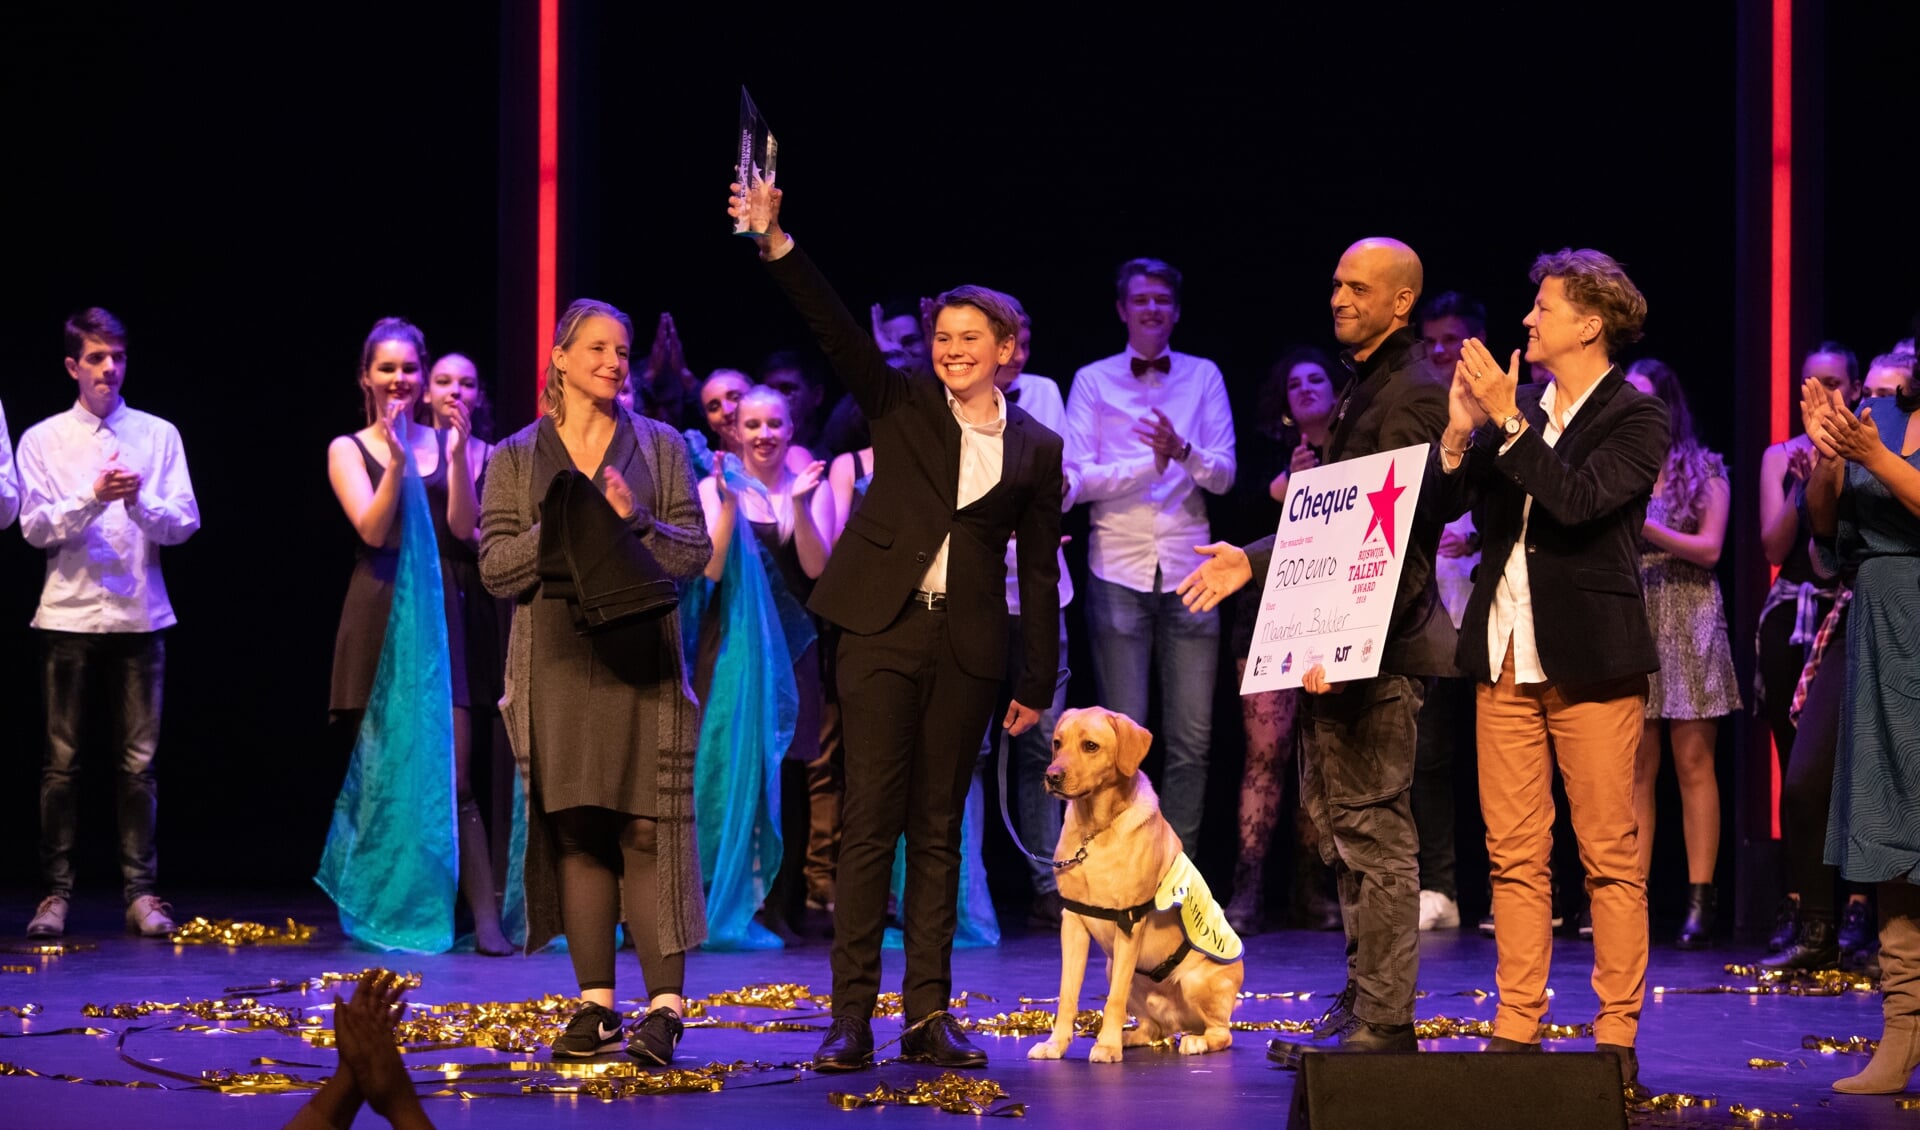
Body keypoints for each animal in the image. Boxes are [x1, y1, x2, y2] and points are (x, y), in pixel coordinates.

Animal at [1021, 706, 1244, 1059]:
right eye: (1057, 743)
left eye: (1090, 746)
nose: (1052, 776)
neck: (1094, 830)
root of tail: (1179, 1022)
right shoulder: (1072, 923)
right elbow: (1067, 994)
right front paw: (1056, 1044)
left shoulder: (1129, 923)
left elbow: (1114, 999)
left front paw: (1107, 1047)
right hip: (1115, 968)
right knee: (1153, 1028)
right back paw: (1130, 1037)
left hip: (1195, 982)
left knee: (1222, 1034)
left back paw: (1195, 1042)